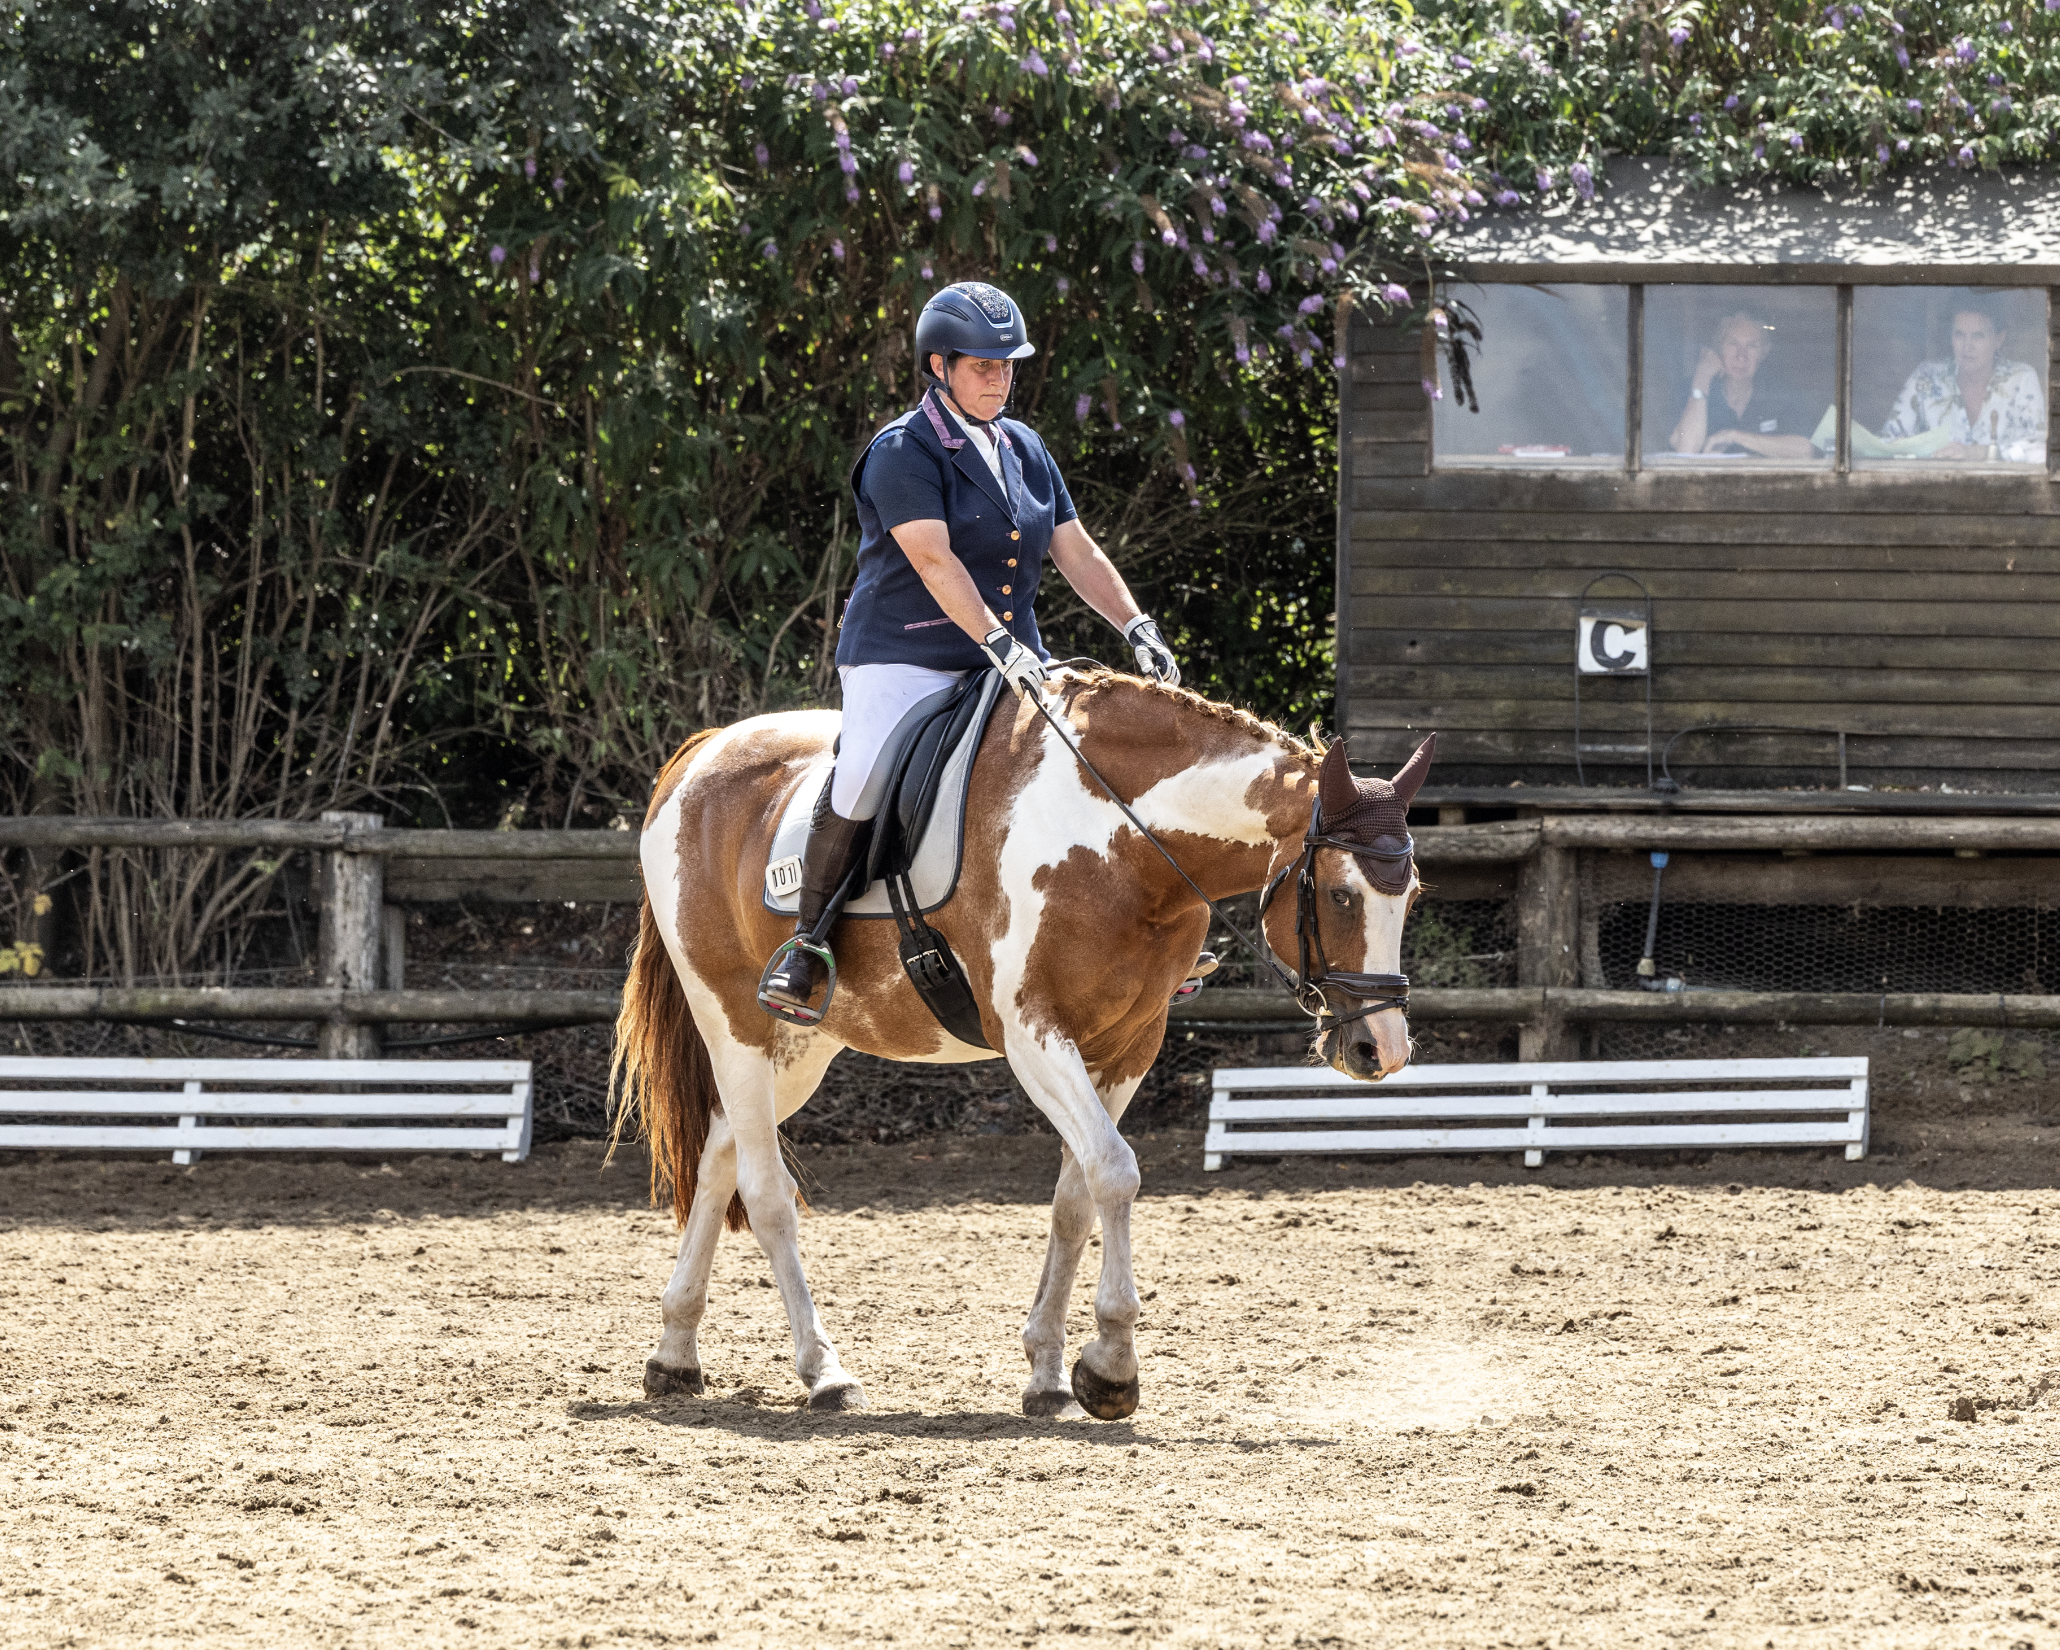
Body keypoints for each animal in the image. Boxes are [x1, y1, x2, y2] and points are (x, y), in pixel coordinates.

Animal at [610, 666, 1435, 1420]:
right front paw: (1111, 1366)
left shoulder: (1128, 1044)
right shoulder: (1034, 1035)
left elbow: (1076, 1197)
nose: (1382, 1050)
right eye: (1341, 894)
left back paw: (674, 1354)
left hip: (805, 1045)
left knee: (720, 1153)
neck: (1119, 838)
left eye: (1413, 894)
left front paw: (1049, 1373)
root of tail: (703, 753)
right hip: (734, 1022)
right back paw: (824, 1371)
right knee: (765, 1189)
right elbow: (1115, 1172)